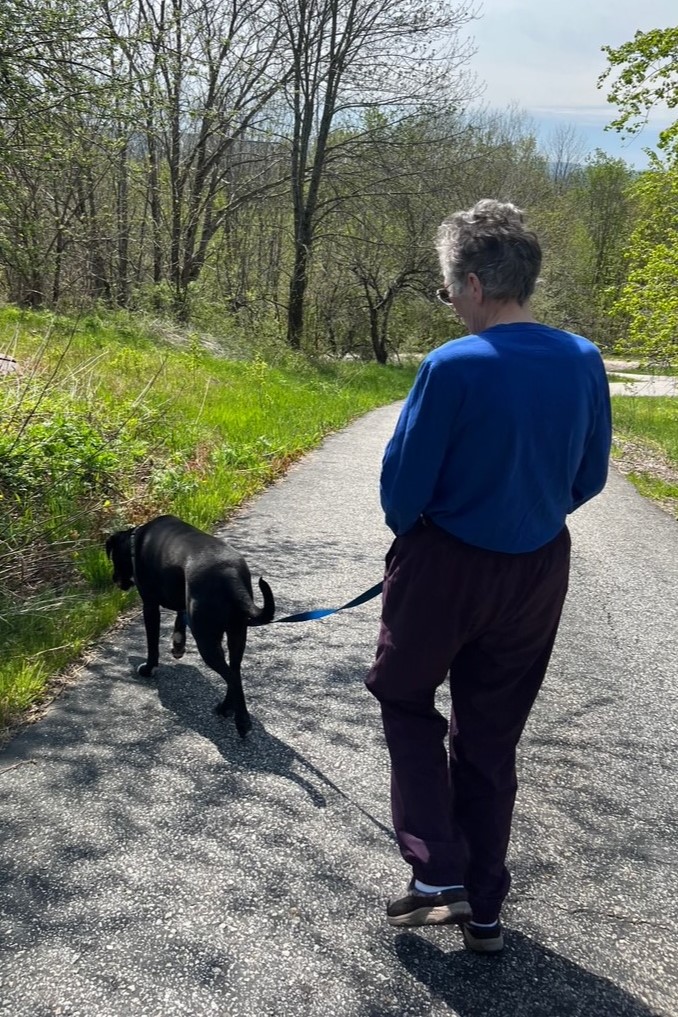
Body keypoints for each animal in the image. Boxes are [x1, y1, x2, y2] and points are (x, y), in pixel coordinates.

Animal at [104, 512, 274, 736]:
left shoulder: (150, 606)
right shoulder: (182, 600)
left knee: (231, 675)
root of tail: (230, 575)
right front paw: (178, 645)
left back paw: (242, 722)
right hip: (237, 633)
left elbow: (152, 644)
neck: (135, 542)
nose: (114, 579)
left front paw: (148, 668)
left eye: (114, 557)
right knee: (235, 671)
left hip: (206, 639)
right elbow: (180, 619)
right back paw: (226, 708)